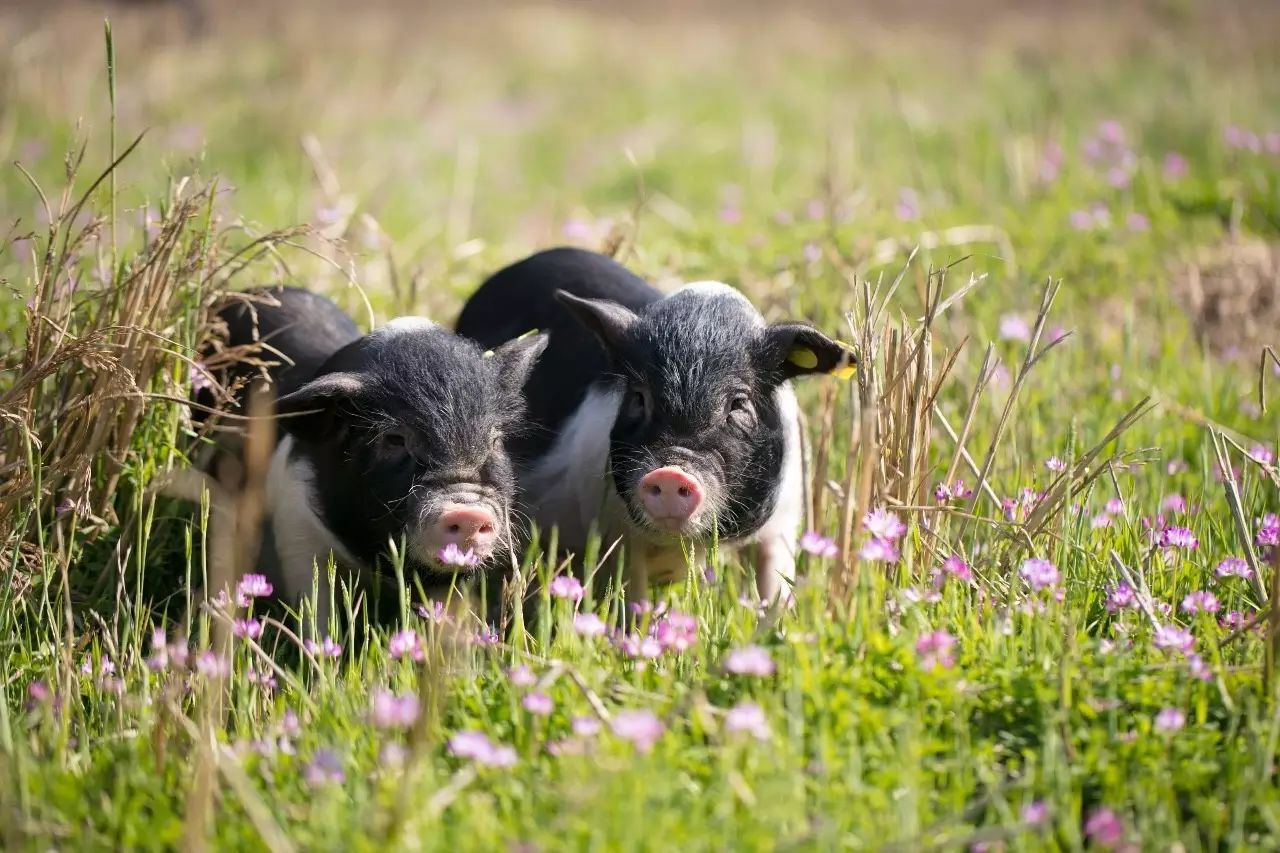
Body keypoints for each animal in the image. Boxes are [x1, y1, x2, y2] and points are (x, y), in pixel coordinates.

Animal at [455, 245, 855, 604]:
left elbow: (773, 589)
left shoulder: (785, 517)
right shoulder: (616, 538)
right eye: (639, 397)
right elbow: (634, 602)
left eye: (739, 404)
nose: (671, 472)